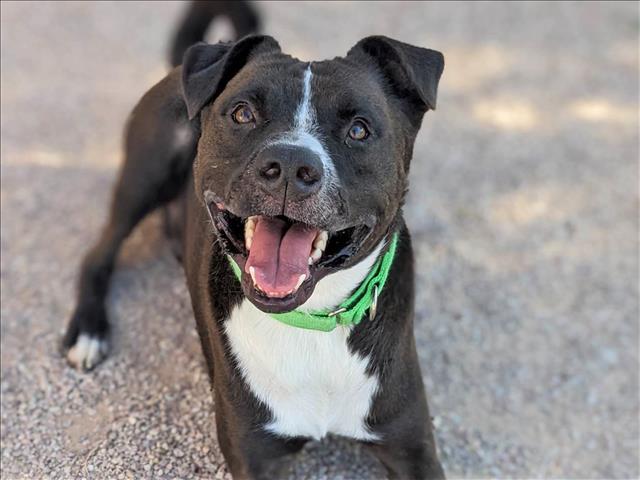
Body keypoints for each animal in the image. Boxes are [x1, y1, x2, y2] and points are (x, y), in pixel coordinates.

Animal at [63, 2, 444, 476]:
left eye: (359, 129)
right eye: (243, 113)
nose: (289, 165)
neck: (311, 322)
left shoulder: (413, 446)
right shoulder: (254, 456)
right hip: (147, 170)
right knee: (99, 254)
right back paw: (88, 332)